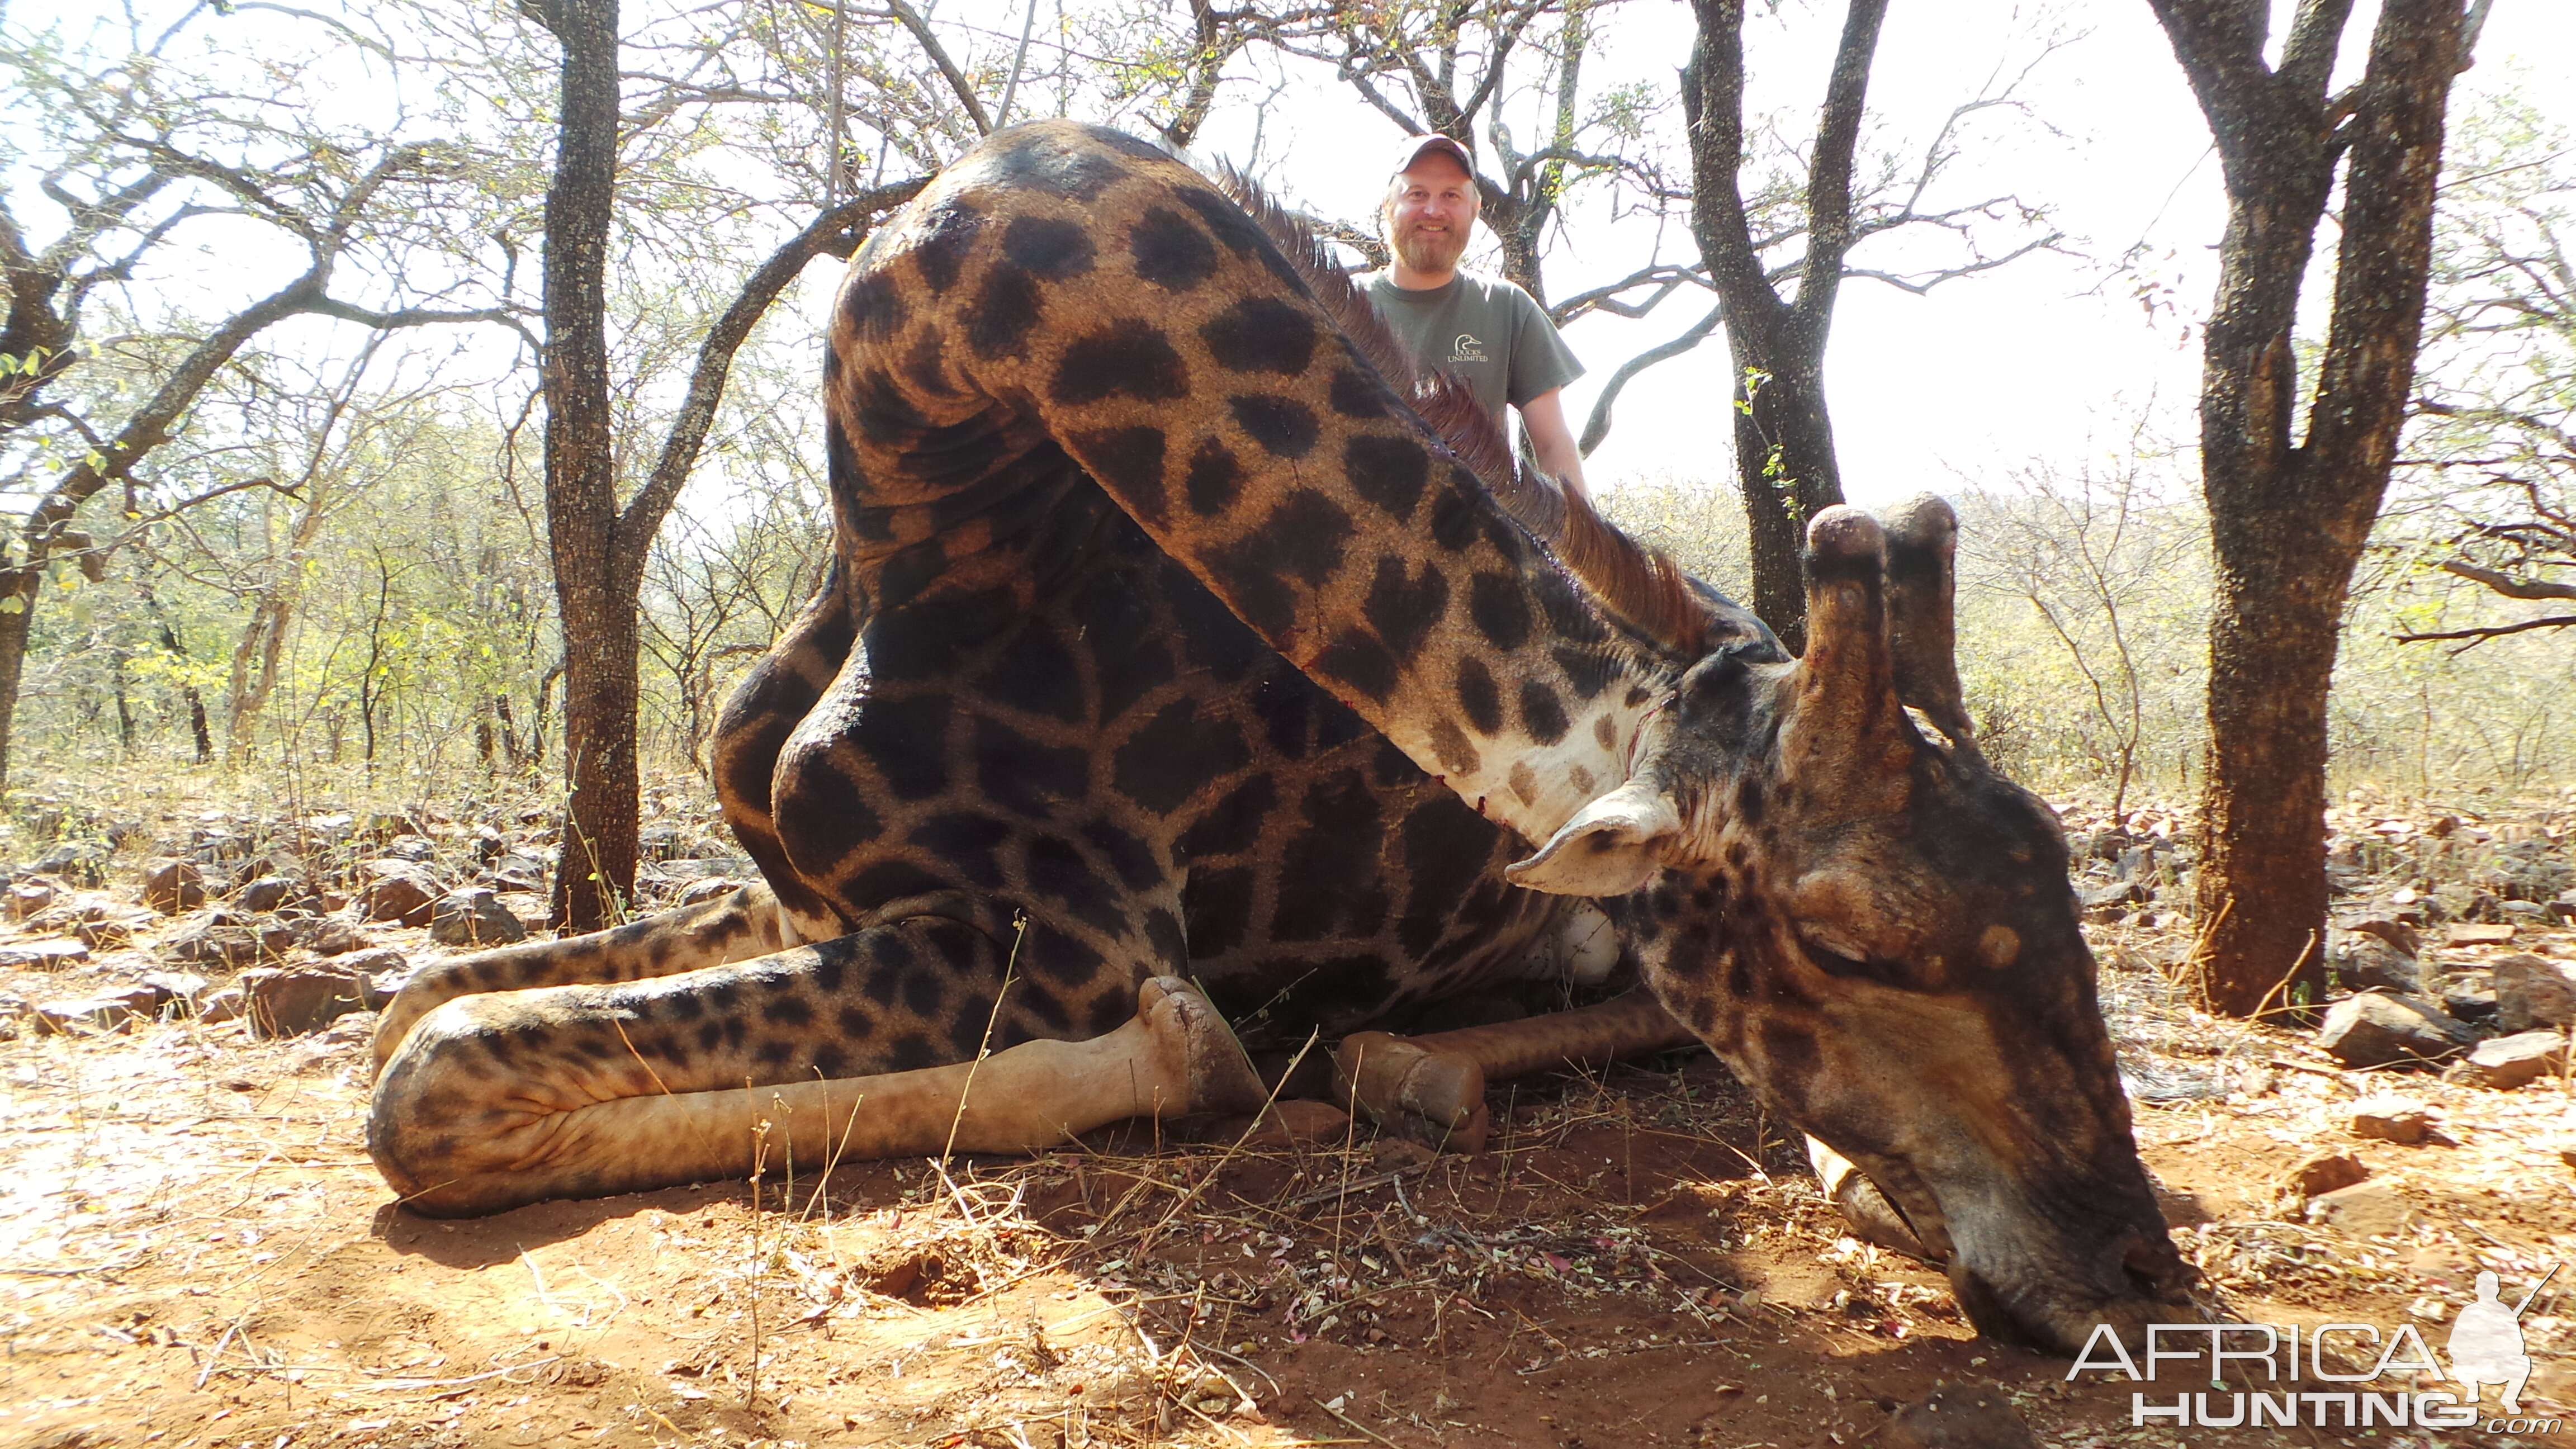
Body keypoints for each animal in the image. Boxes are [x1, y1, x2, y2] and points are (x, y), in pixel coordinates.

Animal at [373, 119, 2195, 1351]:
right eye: (1852, 937)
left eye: (2063, 890)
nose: (2134, 1274)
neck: (918, 472)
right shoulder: (812, 891)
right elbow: (424, 1000)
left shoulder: (1060, 935)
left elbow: (431, 1079)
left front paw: (1192, 1054)